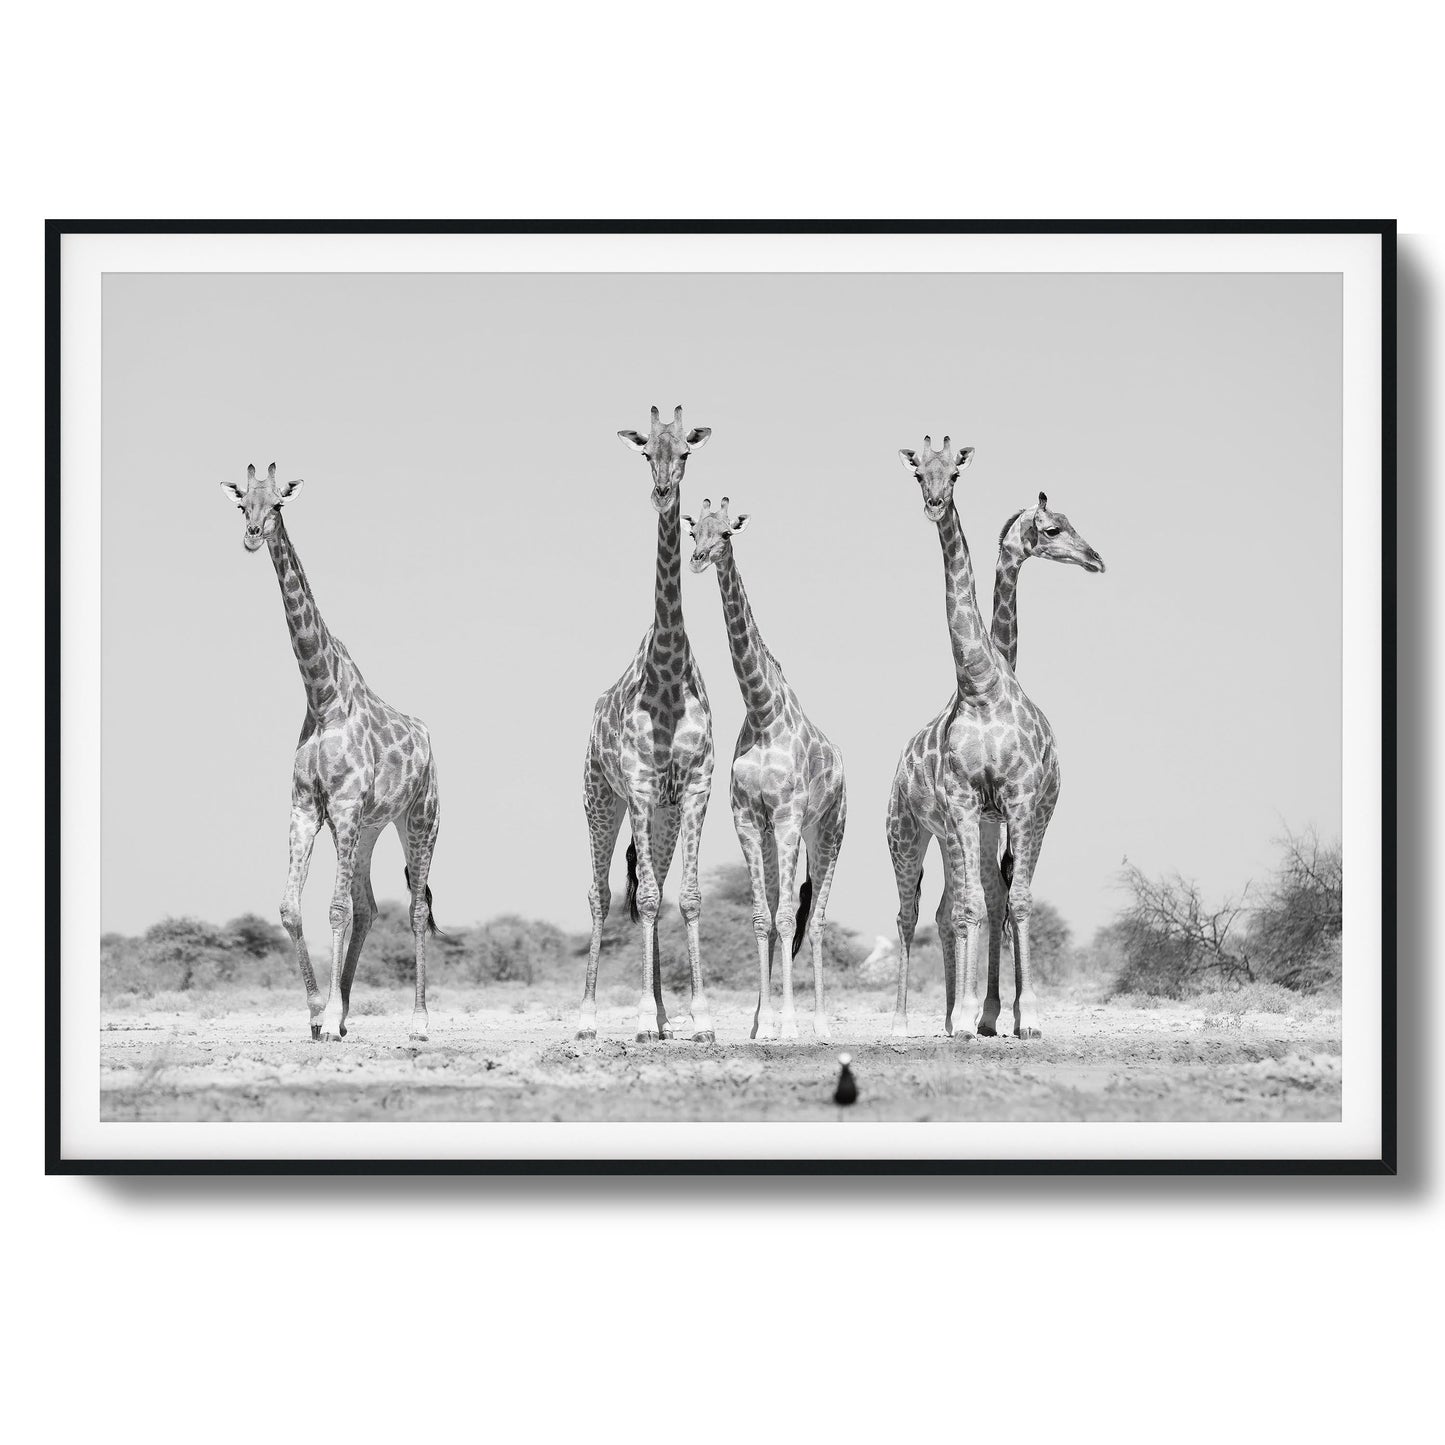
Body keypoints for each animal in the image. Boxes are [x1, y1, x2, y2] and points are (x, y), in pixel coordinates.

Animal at [220, 463, 442, 1043]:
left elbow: (335, 909)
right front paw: (321, 1013)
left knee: (414, 908)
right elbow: (291, 909)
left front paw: (332, 1013)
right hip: (369, 829)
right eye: (242, 504)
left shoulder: (341, 808)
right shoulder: (306, 808)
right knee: (370, 906)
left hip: (419, 819)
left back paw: (419, 1021)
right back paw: (344, 1016)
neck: (322, 699)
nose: (252, 535)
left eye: (277, 503)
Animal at [685, 497, 848, 1042]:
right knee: (786, 912)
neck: (761, 711)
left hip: (827, 831)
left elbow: (785, 918)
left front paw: (790, 1025)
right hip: (785, 834)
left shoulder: (788, 816)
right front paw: (761, 1024)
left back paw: (820, 1023)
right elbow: (761, 917)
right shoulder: (747, 818)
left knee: (814, 920)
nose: (697, 558)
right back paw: (770, 1020)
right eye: (694, 529)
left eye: (726, 533)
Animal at [883, 439, 1075, 1041]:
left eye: (955, 473)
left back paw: (960, 1013)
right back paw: (908, 1021)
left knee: (966, 905)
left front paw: (1015, 1016)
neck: (981, 686)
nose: (934, 502)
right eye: (919, 473)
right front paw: (975, 1015)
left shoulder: (1015, 804)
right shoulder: (967, 804)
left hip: (981, 827)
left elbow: (1009, 902)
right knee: (915, 911)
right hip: (906, 832)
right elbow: (977, 906)